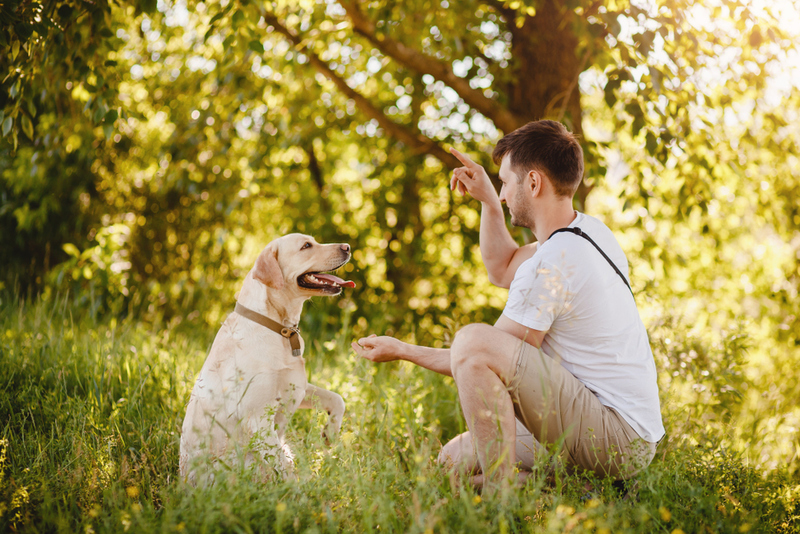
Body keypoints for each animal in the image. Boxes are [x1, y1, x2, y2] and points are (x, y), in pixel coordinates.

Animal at [181, 234, 356, 486]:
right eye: (306, 246)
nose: (348, 247)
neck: (279, 328)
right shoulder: (258, 419)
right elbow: (284, 467)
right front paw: (303, 492)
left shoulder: (298, 388)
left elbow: (337, 399)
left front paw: (331, 433)